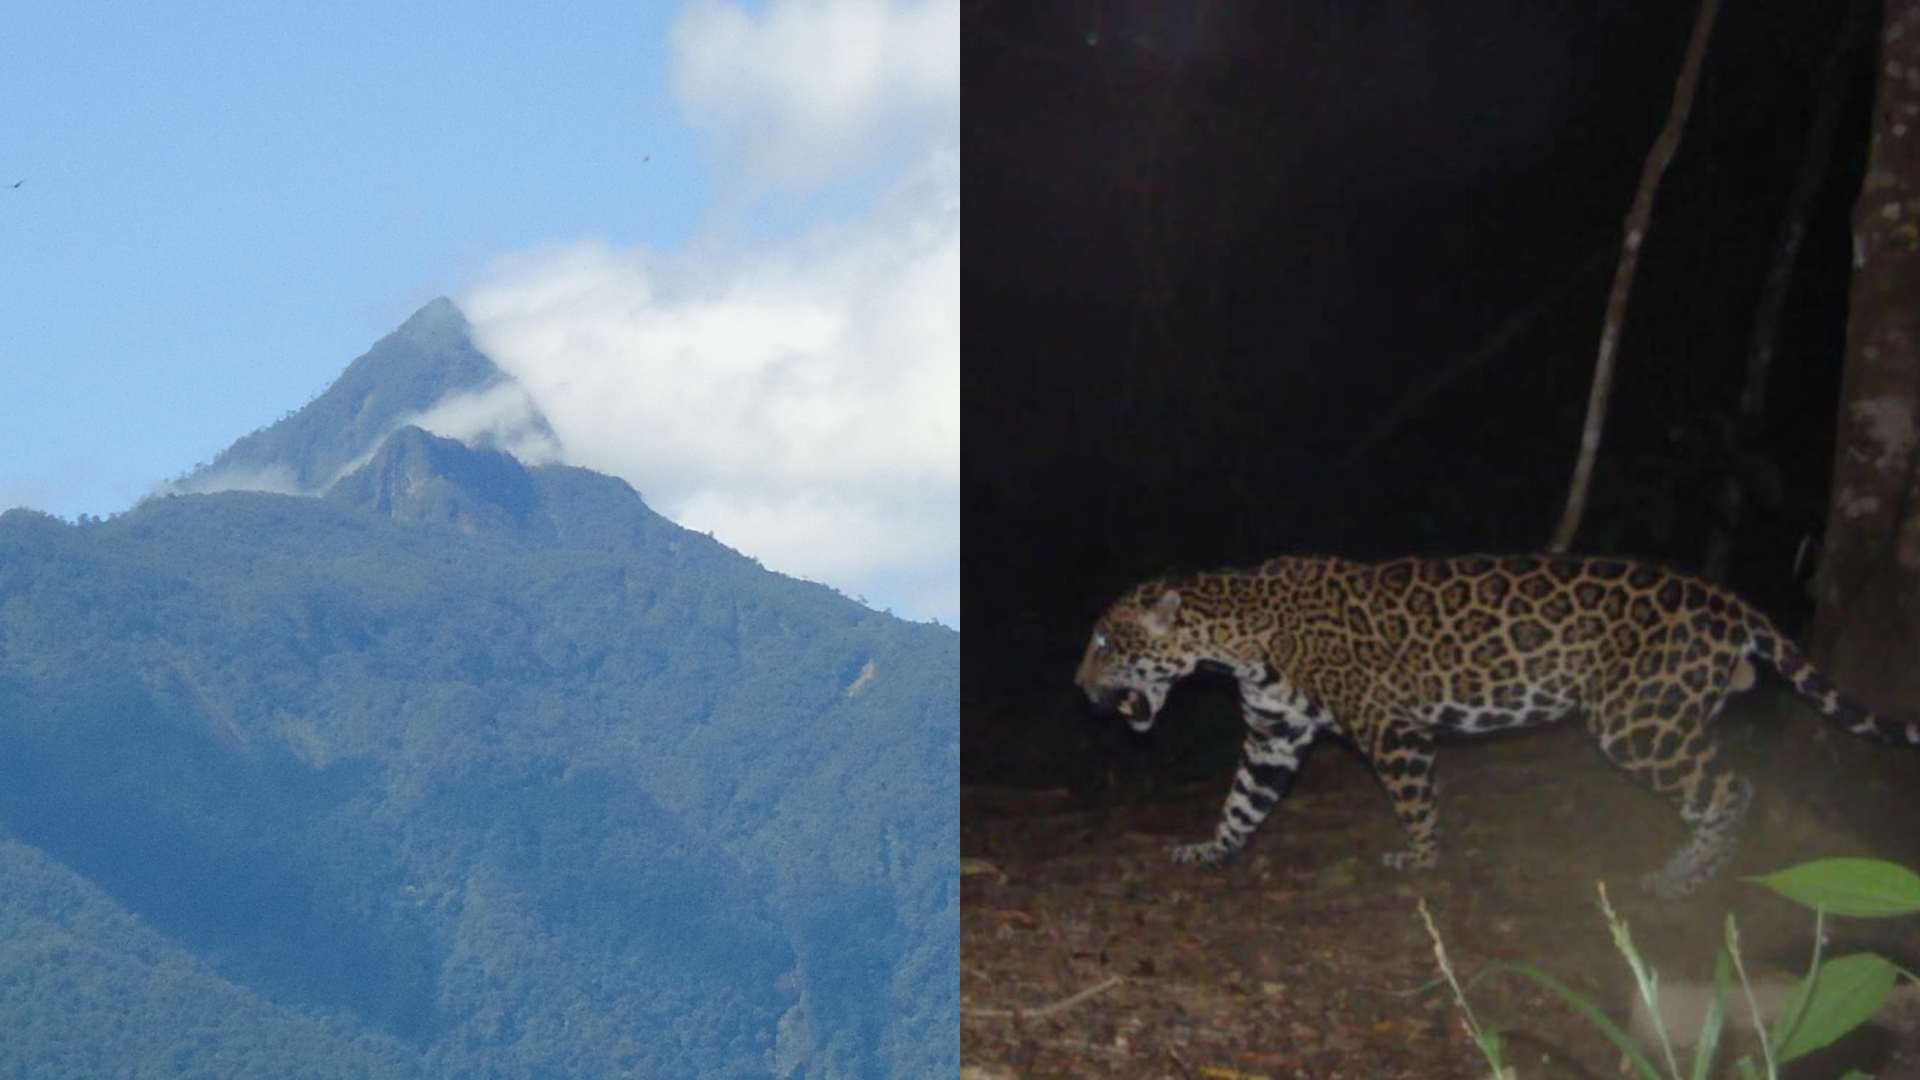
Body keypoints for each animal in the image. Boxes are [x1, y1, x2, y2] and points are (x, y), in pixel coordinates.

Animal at [1074, 553, 1920, 898]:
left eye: (1107, 643)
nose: (1078, 688)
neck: (1238, 636)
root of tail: (1728, 600)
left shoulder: (1393, 729)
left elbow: (1416, 802)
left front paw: (1420, 861)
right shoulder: (1275, 737)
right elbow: (1244, 800)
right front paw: (1210, 849)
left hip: (1636, 720)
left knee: (1730, 789)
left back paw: (1686, 878)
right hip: (1671, 713)